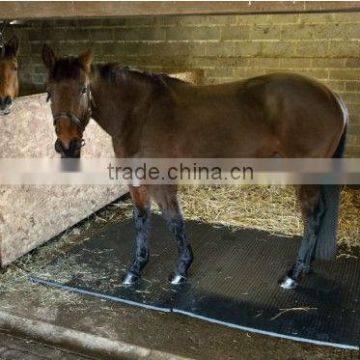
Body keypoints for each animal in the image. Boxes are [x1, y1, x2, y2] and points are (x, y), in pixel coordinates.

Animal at [41, 45, 346, 292]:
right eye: (49, 91)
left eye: (83, 88)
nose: (67, 145)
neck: (139, 112)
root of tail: (334, 98)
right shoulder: (136, 179)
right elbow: (141, 219)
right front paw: (135, 271)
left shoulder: (161, 179)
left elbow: (173, 219)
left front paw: (180, 269)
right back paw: (304, 267)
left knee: (312, 214)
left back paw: (293, 275)